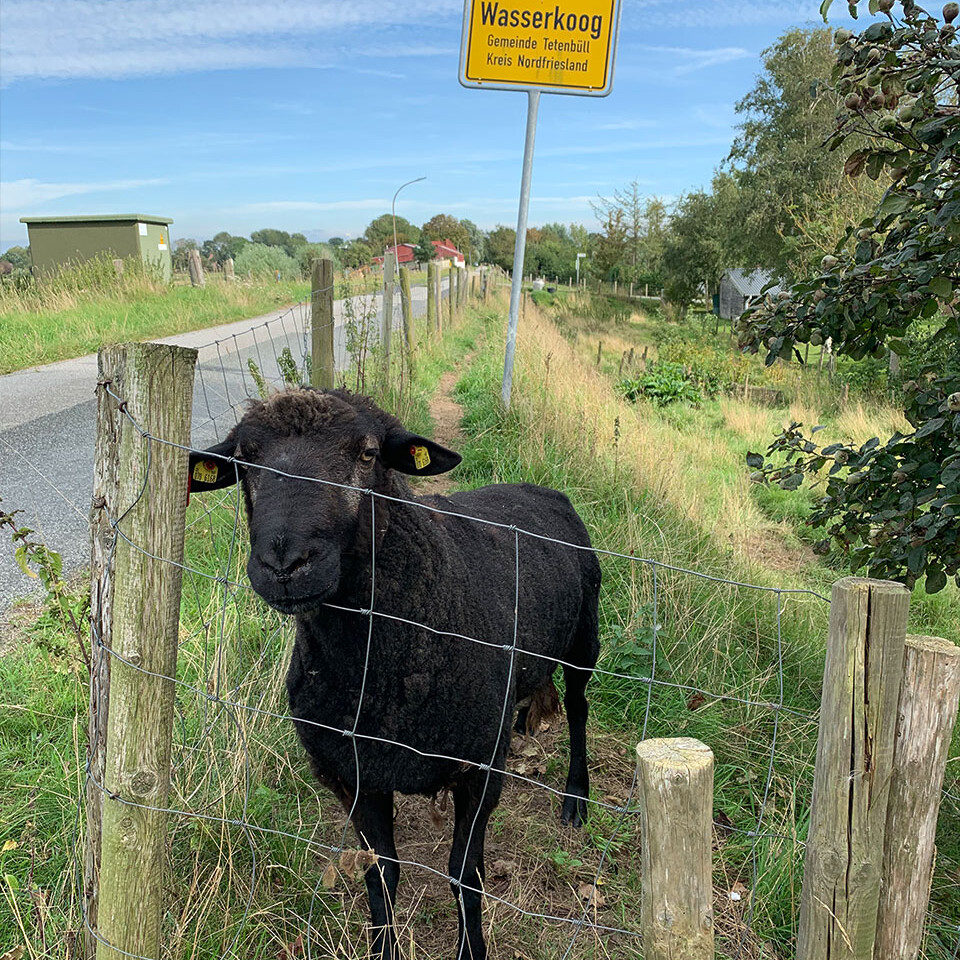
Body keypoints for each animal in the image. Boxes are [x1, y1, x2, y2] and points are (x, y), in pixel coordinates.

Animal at [188, 388, 600, 960]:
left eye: (367, 454)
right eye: (244, 459)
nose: (285, 565)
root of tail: (541, 488)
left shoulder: (478, 768)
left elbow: (464, 873)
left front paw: (471, 949)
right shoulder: (353, 774)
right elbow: (381, 874)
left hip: (585, 637)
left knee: (580, 707)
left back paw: (575, 799)